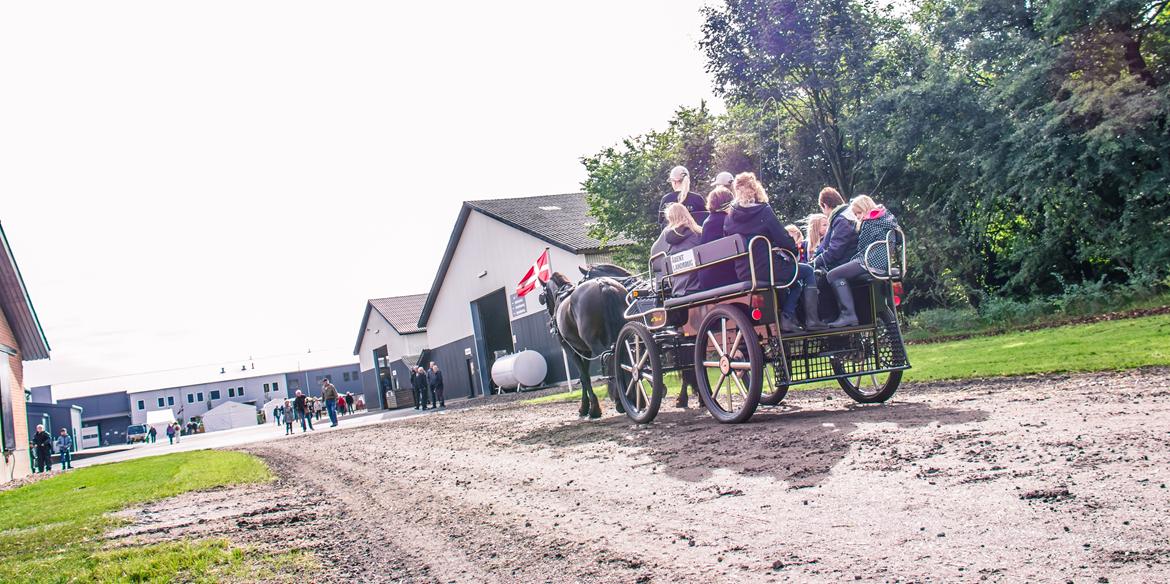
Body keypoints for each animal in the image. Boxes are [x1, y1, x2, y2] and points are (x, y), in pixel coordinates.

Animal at [540, 269, 631, 421]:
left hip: (595, 343)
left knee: (610, 359)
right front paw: (587, 407)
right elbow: (585, 374)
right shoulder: (585, 350)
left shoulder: (570, 348)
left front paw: (591, 409)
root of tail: (603, 285)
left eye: (544, 297)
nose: (551, 321)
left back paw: (620, 400)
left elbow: (583, 376)